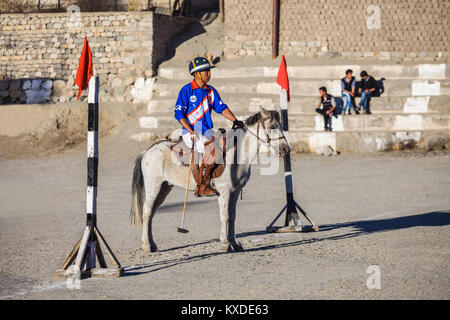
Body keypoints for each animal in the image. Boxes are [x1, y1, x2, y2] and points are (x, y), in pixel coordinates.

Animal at [129, 107, 288, 252]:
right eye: (273, 126)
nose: (285, 149)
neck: (237, 154)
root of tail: (147, 151)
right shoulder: (224, 192)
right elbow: (224, 216)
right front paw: (225, 244)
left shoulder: (235, 192)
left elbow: (232, 217)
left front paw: (235, 243)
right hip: (153, 188)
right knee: (147, 211)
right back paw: (147, 246)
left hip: (164, 188)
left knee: (151, 213)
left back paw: (152, 244)